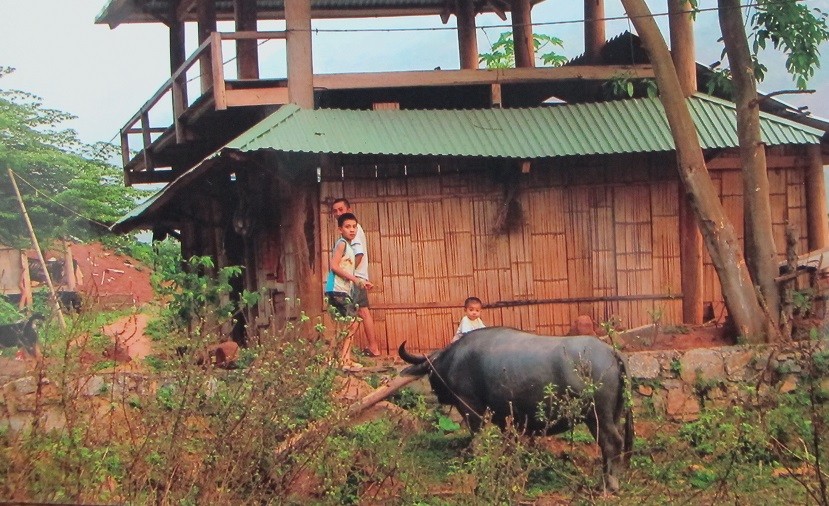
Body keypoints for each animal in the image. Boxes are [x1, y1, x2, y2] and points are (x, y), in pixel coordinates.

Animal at [402, 326, 632, 492]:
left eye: (430, 372)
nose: (438, 395)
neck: (455, 359)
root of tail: (611, 353)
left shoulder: (471, 408)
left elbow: (477, 439)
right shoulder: (507, 419)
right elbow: (510, 445)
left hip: (597, 415)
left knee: (611, 443)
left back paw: (607, 485)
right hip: (614, 413)